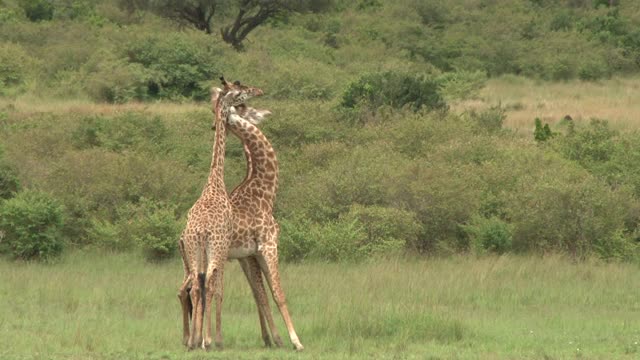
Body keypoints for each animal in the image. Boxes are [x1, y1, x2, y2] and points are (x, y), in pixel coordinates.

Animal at [175, 80, 262, 350]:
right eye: (240, 92)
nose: (259, 91)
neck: (215, 180)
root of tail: (201, 231)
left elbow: (204, 289)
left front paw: (201, 338)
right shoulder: (224, 251)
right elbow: (219, 290)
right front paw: (215, 339)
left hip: (194, 252)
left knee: (193, 287)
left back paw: (193, 340)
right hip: (214, 250)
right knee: (207, 287)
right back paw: (207, 340)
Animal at [212, 79, 304, 352]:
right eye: (243, 97)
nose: (262, 93)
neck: (264, 190)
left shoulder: (248, 254)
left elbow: (258, 293)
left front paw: (270, 338)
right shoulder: (268, 245)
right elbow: (276, 293)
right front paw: (293, 341)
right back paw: (212, 339)